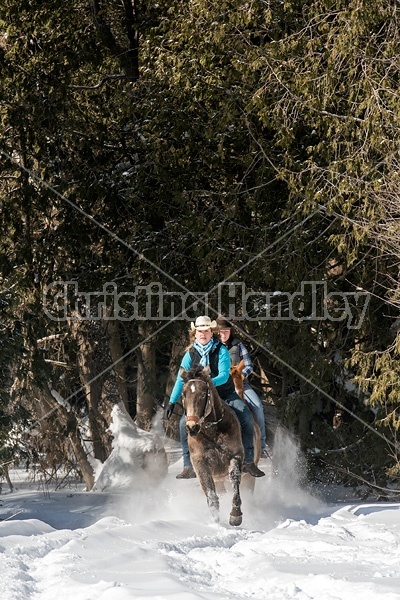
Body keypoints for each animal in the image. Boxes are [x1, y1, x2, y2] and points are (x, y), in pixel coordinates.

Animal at [180, 366, 245, 524]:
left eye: (204, 394)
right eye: (183, 394)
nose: (192, 427)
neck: (212, 432)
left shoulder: (236, 455)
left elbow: (235, 478)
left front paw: (235, 515)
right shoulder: (200, 463)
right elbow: (210, 492)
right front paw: (216, 520)